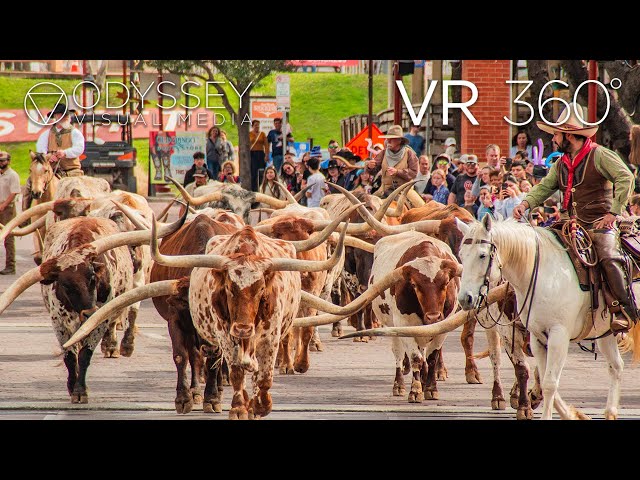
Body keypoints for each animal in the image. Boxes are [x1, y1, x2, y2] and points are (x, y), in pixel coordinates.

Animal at [458, 214, 636, 420]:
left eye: (482, 255)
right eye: (461, 255)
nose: (464, 298)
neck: (543, 274)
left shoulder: (558, 335)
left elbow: (549, 382)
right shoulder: (536, 337)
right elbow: (540, 377)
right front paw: (569, 413)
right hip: (605, 331)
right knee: (616, 366)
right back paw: (610, 412)